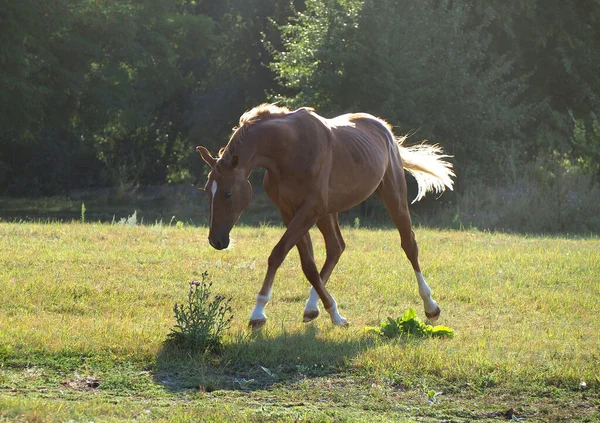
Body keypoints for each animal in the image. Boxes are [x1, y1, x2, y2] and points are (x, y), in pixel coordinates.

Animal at [198, 104, 454, 330]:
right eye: (207, 191)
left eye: (228, 193)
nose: (216, 240)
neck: (288, 149)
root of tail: (383, 128)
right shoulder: (290, 211)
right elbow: (308, 264)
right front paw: (330, 312)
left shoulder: (310, 209)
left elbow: (278, 253)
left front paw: (259, 312)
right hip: (328, 212)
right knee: (335, 247)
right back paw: (312, 308)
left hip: (393, 196)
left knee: (409, 244)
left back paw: (430, 306)